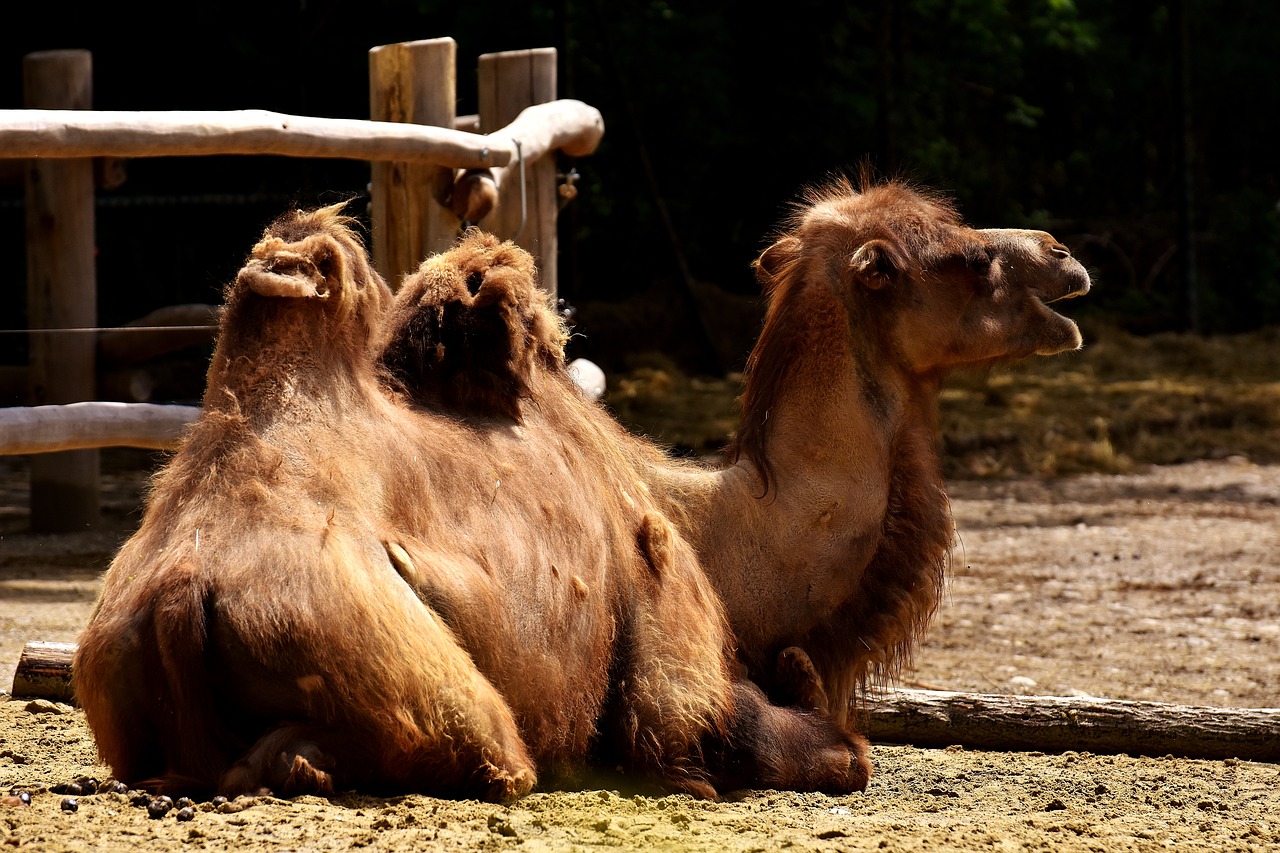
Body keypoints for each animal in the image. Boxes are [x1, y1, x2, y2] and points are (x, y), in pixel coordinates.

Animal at [72, 204, 870, 799]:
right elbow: (700, 726)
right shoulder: (662, 620)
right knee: (488, 751)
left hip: (114, 683)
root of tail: (180, 592)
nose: (859, 762)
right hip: (417, 676)